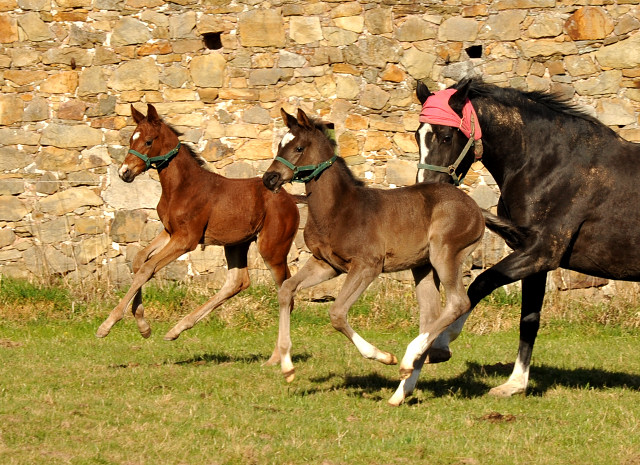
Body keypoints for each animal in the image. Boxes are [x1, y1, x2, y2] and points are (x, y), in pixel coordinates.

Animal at [97, 103, 300, 360]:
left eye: (149, 141)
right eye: (132, 138)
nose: (125, 173)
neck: (181, 187)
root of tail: (290, 199)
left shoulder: (187, 239)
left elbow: (147, 268)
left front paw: (108, 324)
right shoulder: (169, 231)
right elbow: (140, 260)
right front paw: (144, 326)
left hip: (272, 249)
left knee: (285, 293)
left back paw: (278, 355)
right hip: (236, 244)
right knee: (237, 282)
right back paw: (177, 329)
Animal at [262, 108, 524, 402]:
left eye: (298, 147)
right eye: (279, 145)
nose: (269, 179)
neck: (338, 209)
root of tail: (476, 208)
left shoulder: (368, 266)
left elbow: (337, 313)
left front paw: (382, 356)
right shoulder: (326, 264)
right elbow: (286, 290)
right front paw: (287, 367)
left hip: (445, 254)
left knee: (459, 302)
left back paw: (408, 359)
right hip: (423, 267)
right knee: (431, 315)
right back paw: (402, 390)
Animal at [416, 78, 640, 396]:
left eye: (446, 137)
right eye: (417, 135)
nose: (427, 190)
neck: (552, 165)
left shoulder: (541, 252)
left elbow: (481, 284)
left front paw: (441, 344)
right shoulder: (533, 258)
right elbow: (529, 319)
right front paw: (515, 384)